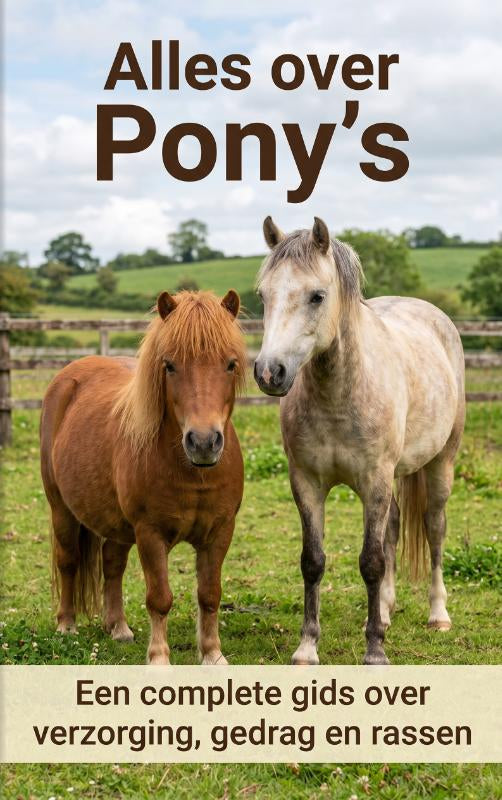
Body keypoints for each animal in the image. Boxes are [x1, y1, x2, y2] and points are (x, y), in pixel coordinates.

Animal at [40, 289, 246, 665]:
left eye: (230, 363)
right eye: (170, 365)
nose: (203, 442)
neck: (192, 473)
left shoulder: (220, 531)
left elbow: (209, 594)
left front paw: (212, 655)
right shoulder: (150, 534)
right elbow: (159, 598)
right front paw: (159, 658)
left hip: (116, 524)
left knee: (112, 563)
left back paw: (118, 627)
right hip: (61, 508)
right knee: (68, 560)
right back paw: (66, 625)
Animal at [254, 217, 465, 665]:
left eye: (317, 296)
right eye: (263, 295)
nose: (269, 372)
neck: (338, 393)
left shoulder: (374, 481)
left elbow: (371, 561)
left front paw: (374, 653)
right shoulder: (306, 484)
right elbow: (313, 561)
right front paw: (307, 648)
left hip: (440, 465)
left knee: (434, 529)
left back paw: (438, 614)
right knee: (395, 528)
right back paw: (383, 611)